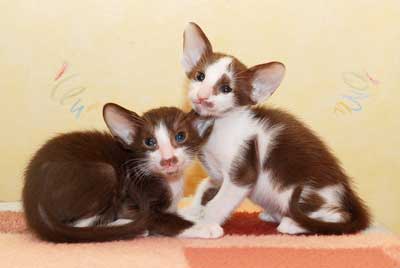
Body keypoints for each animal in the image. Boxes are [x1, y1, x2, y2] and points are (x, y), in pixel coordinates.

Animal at [21, 102, 223, 243]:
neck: (171, 181)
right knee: (81, 225)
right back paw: (125, 226)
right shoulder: (135, 201)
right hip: (106, 172)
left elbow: (176, 211)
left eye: (180, 136)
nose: (168, 160)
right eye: (150, 142)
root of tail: (33, 200)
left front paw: (196, 214)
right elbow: (164, 219)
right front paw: (205, 227)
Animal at [180, 24, 370, 236]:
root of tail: (347, 190)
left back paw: (292, 224)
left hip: (302, 193)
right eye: (200, 77)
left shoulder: (242, 172)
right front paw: (192, 211)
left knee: (338, 214)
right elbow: (203, 187)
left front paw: (205, 224)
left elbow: (218, 203)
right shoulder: (217, 175)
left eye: (226, 89)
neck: (217, 125)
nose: (202, 96)